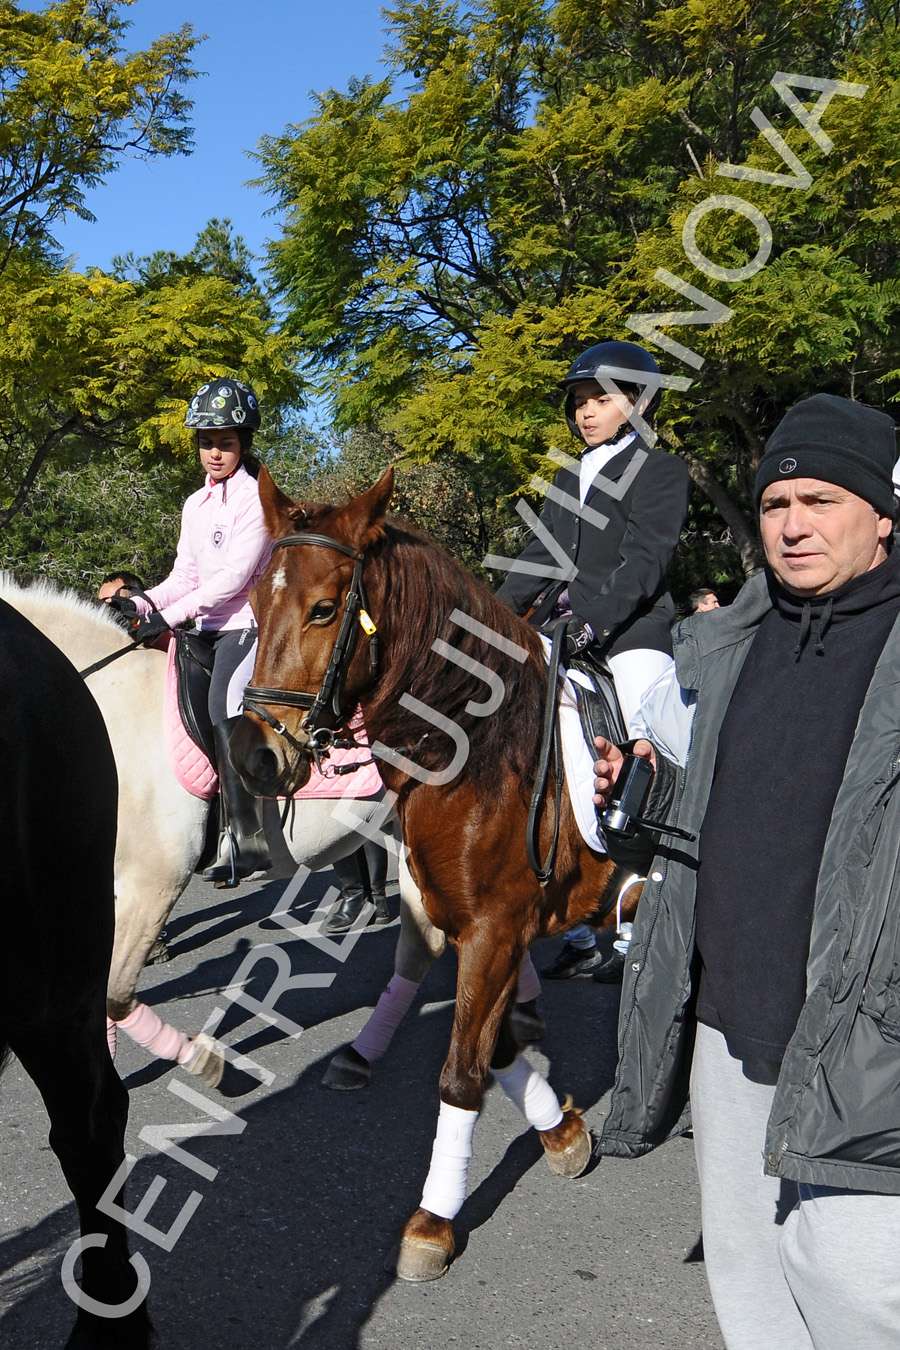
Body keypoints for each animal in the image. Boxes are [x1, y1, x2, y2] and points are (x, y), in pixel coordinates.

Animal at [229, 469, 644, 1279]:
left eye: (325, 608)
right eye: (256, 607)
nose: (256, 755)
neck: (477, 750)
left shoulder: (493, 932)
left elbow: (461, 1071)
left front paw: (433, 1219)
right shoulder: (470, 928)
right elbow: (495, 1050)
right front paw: (562, 1132)